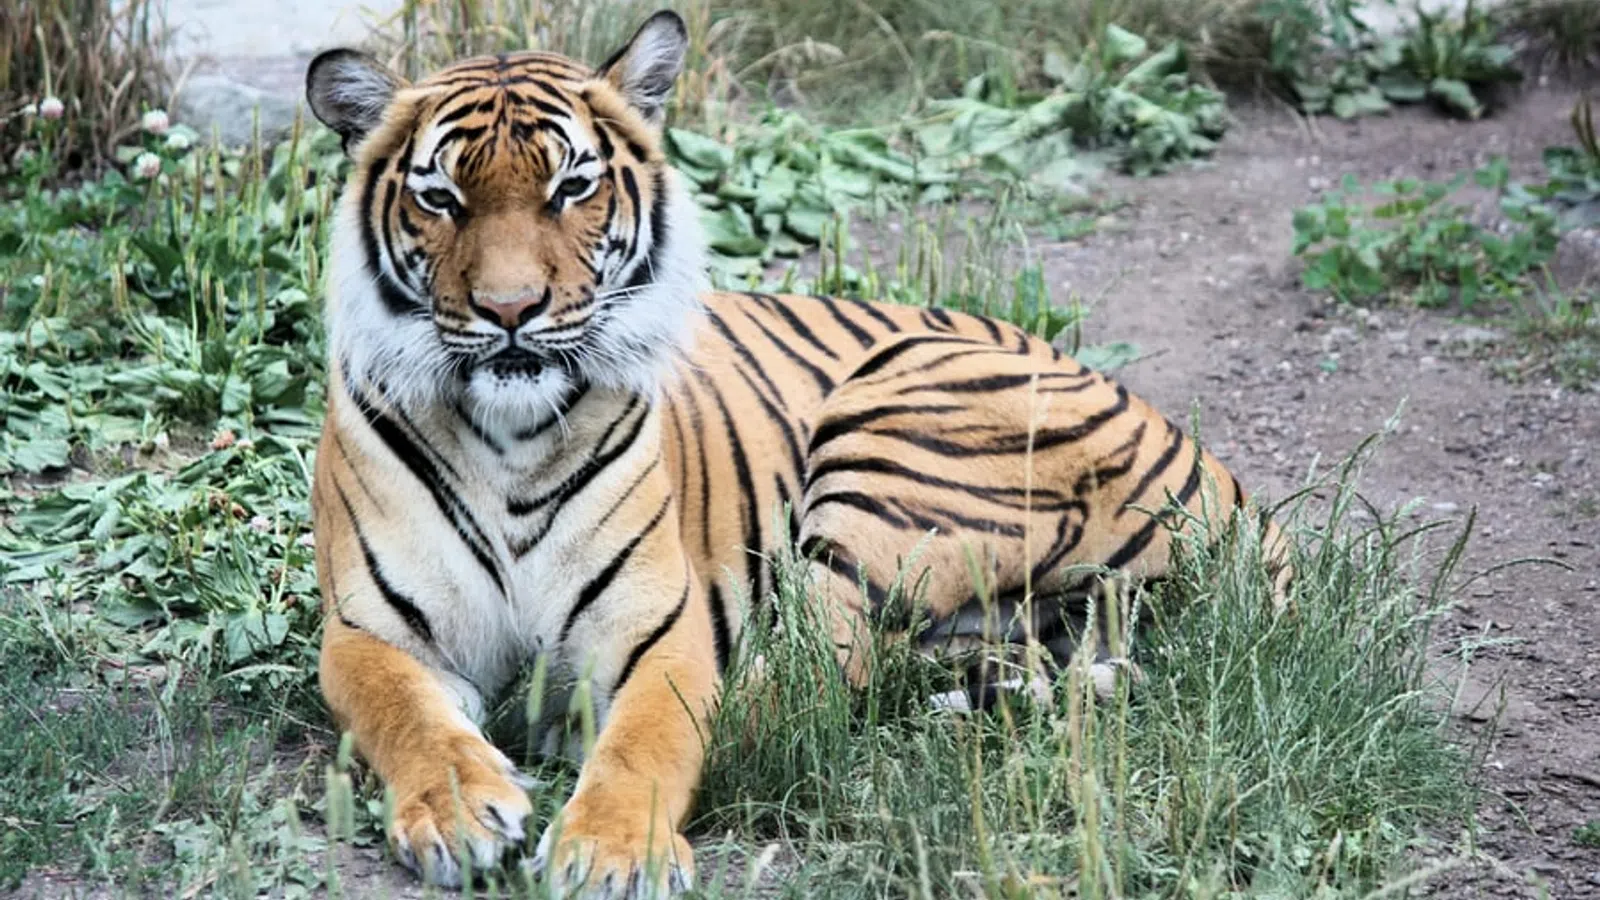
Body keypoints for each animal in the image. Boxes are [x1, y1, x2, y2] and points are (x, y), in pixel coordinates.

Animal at [304, 10, 1290, 897]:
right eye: (441, 198)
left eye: (571, 189)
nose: (511, 310)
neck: (510, 436)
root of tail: (1231, 483)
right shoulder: (371, 629)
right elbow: (409, 718)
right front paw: (459, 811)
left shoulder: (659, 630)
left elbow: (651, 737)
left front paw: (612, 852)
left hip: (895, 439)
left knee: (805, 687)